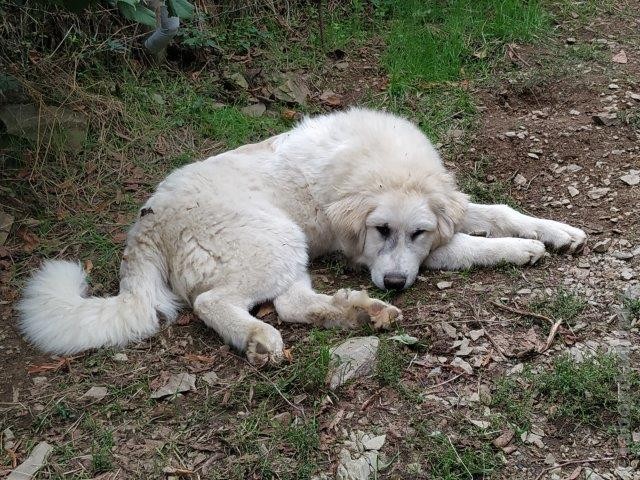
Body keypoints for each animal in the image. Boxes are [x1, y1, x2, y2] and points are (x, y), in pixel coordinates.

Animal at [18, 109, 584, 364]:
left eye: (417, 231)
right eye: (381, 230)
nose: (394, 285)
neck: (378, 166)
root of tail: (146, 225)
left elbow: (497, 211)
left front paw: (557, 231)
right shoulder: (373, 255)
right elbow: (471, 244)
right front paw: (525, 250)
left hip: (289, 248)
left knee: (292, 304)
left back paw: (362, 313)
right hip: (276, 238)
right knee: (217, 304)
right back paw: (257, 338)